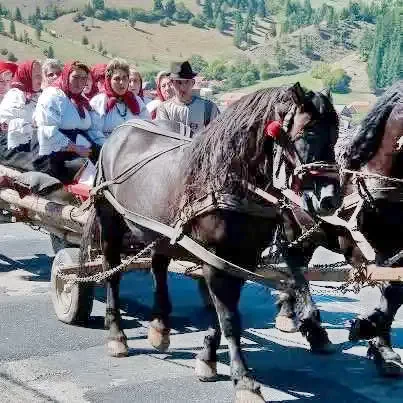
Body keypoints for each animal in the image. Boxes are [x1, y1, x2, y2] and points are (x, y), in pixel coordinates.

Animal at [81, 83, 340, 402]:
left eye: (336, 135)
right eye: (307, 133)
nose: (329, 199)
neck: (228, 182)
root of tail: (121, 130)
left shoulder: (240, 258)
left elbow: (220, 313)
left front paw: (207, 357)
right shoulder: (215, 259)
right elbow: (229, 318)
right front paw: (244, 380)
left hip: (159, 230)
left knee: (158, 267)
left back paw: (159, 327)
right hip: (110, 221)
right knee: (112, 272)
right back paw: (117, 334)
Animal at [276, 80, 403, 378]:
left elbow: (395, 292)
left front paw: (383, 348)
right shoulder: (357, 248)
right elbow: (389, 288)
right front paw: (367, 330)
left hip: (309, 232)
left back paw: (289, 311)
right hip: (291, 225)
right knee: (294, 265)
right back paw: (313, 327)